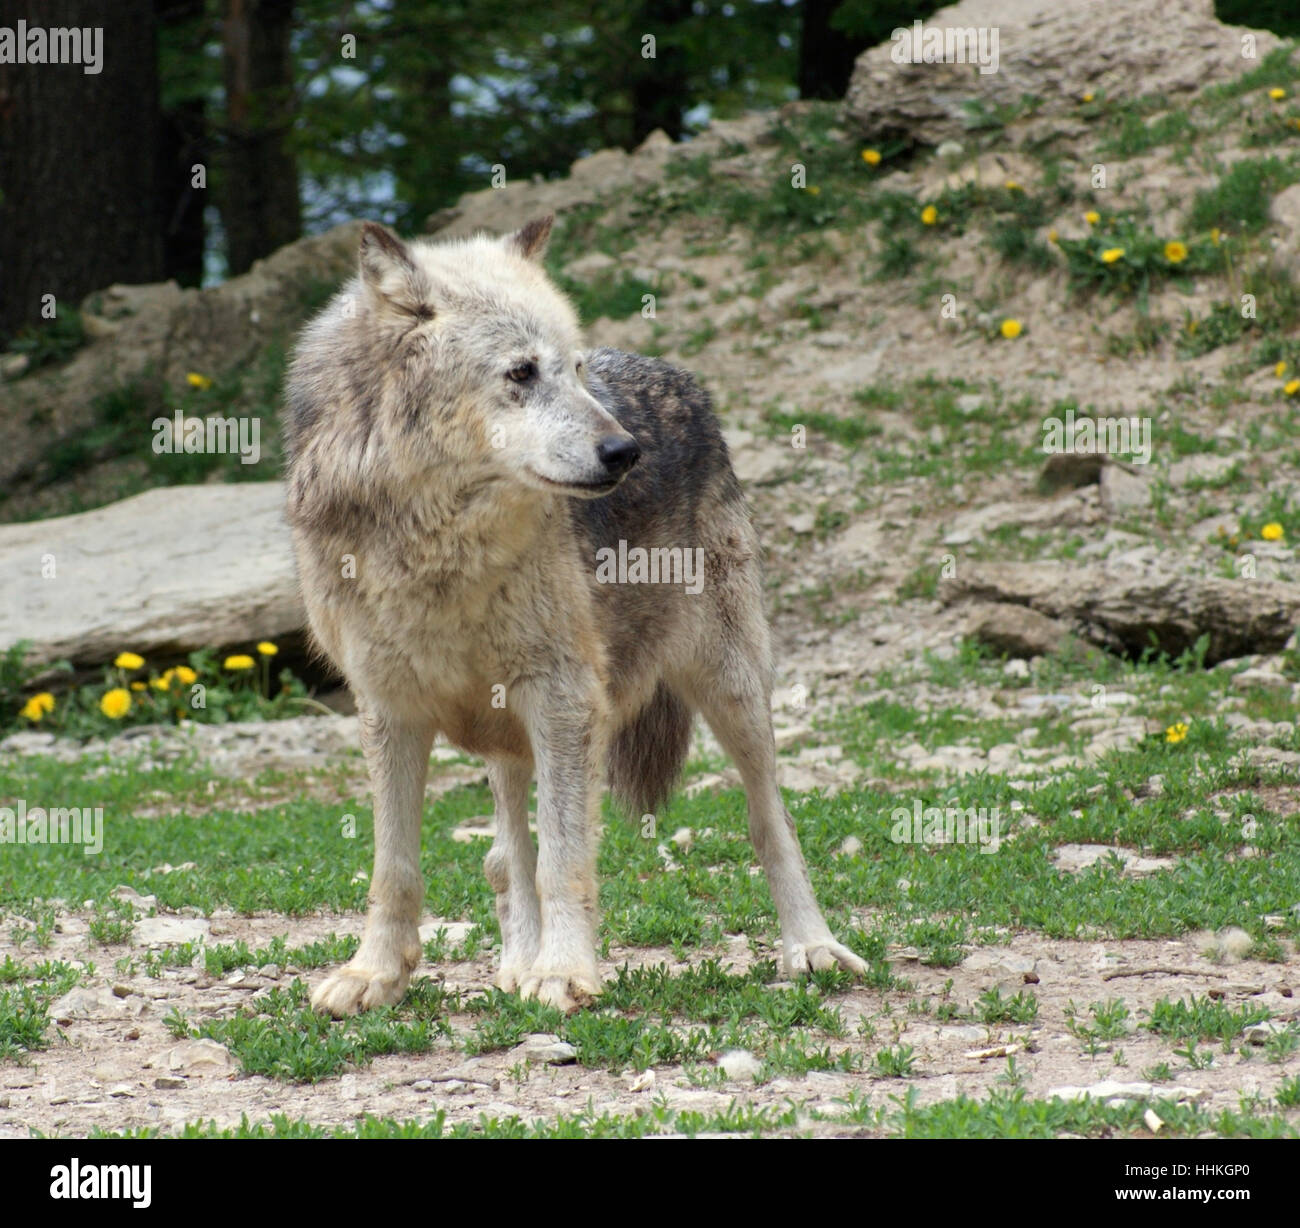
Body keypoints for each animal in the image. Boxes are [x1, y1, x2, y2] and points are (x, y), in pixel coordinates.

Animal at [287, 215, 863, 1013]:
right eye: (522, 373)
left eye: (579, 370)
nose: (625, 450)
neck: (438, 544)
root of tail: (679, 375)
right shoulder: (389, 707)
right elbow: (395, 868)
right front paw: (374, 973)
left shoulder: (563, 695)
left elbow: (565, 858)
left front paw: (563, 973)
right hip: (505, 729)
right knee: (505, 855)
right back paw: (513, 963)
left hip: (732, 687)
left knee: (770, 822)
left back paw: (812, 947)